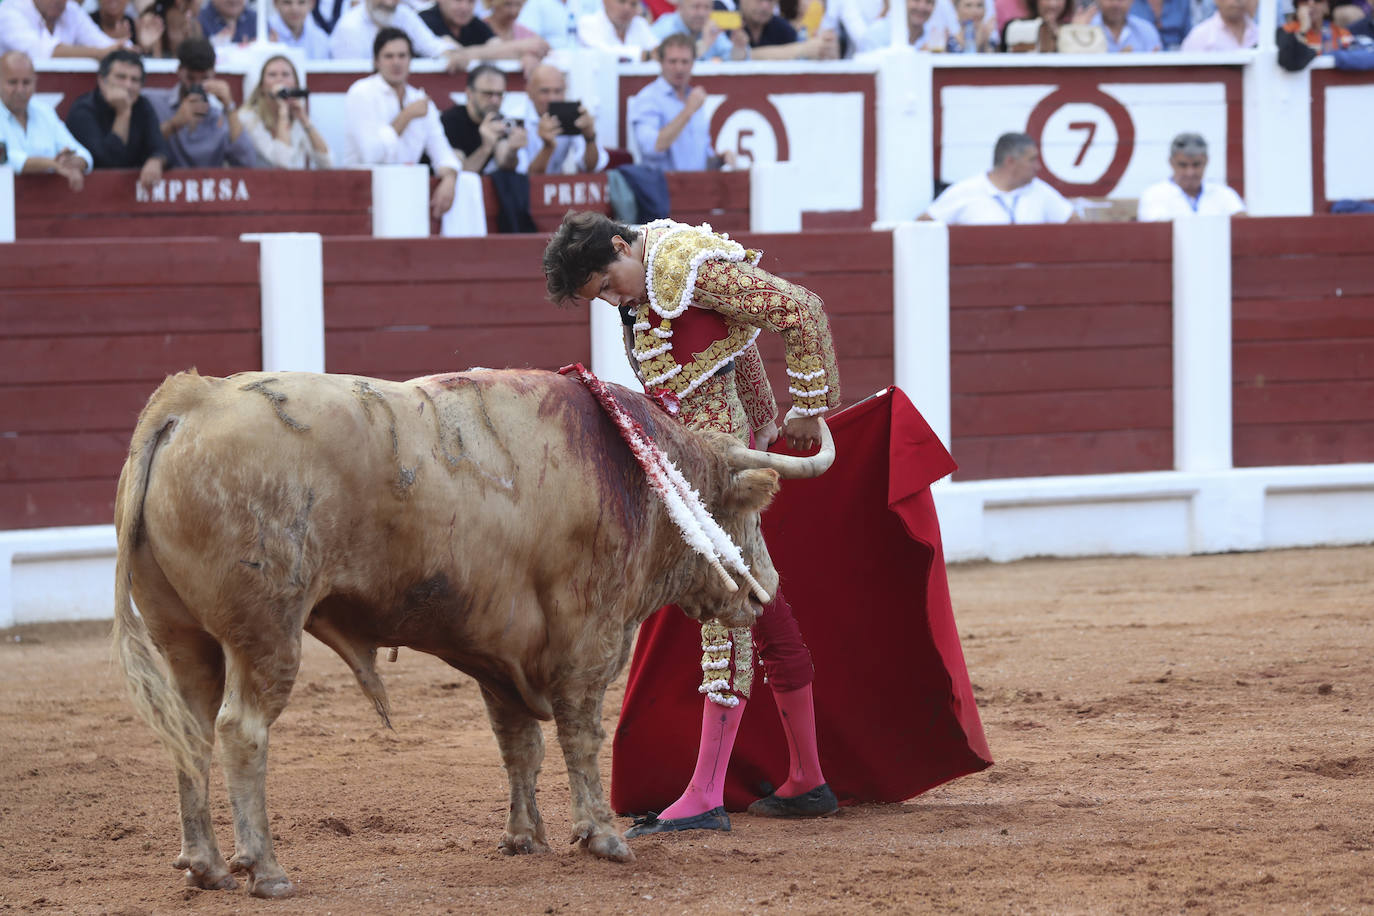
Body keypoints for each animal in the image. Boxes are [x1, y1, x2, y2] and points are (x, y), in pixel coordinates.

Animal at [112, 368, 829, 900]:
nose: (764, 592)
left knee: (190, 730)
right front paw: (602, 836)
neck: (635, 476)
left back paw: (205, 865)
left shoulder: (498, 652)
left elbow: (519, 746)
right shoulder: (589, 635)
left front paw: (525, 838)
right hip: (267, 632)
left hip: (185, 638)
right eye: (738, 512)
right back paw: (264, 870)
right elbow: (579, 735)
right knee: (242, 731)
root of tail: (188, 402)